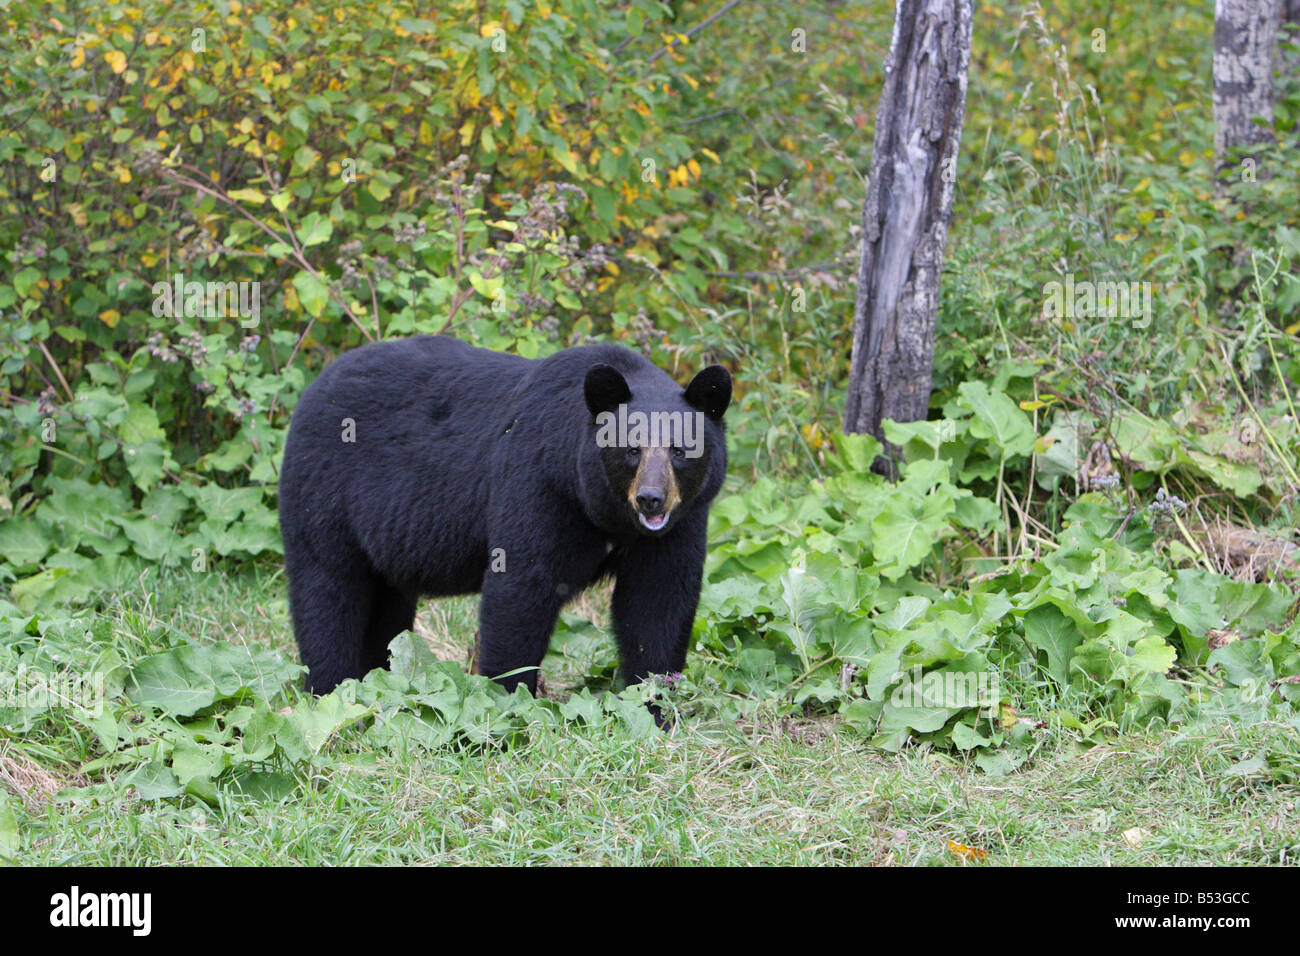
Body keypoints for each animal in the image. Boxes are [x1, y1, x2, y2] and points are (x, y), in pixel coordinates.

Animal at [280, 335, 733, 702]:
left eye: (679, 450)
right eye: (631, 449)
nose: (650, 499)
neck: (605, 513)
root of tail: (316, 385)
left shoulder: (680, 523)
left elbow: (658, 600)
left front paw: (656, 705)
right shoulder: (538, 484)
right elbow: (521, 590)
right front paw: (509, 701)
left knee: (386, 607)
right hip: (323, 493)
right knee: (327, 592)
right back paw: (330, 689)